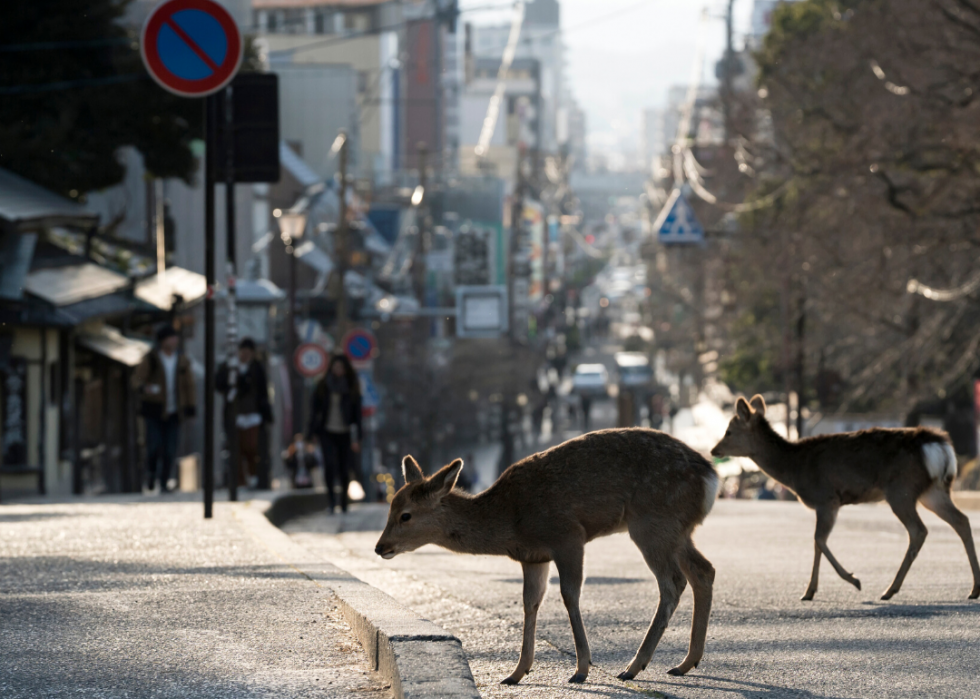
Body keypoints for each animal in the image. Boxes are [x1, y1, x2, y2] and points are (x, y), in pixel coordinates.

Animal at [374, 430, 720, 688]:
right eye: (390, 507)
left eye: (406, 515)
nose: (380, 547)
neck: (510, 521)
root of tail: (711, 478)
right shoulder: (533, 557)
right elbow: (531, 602)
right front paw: (516, 672)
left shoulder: (568, 536)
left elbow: (569, 595)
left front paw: (581, 670)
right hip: (677, 530)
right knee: (703, 570)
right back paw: (685, 663)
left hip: (653, 522)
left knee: (673, 582)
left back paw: (634, 666)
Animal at [712, 394, 980, 600]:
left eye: (729, 431)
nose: (714, 450)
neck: (795, 468)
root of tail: (939, 446)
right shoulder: (828, 504)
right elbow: (817, 542)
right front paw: (809, 591)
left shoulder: (826, 498)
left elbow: (818, 540)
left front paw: (853, 579)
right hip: (933, 491)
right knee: (962, 521)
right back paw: (974, 588)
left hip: (900, 490)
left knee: (919, 530)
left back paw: (889, 589)